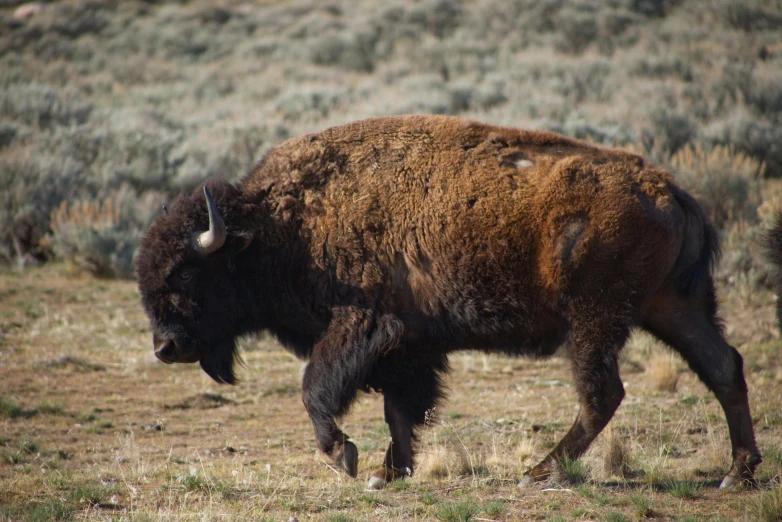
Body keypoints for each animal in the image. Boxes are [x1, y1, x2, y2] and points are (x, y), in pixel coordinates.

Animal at [138, 114, 764, 488]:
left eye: (186, 272)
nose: (165, 348)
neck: (277, 224)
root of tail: (673, 192)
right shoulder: (409, 347)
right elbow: (400, 410)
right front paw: (390, 472)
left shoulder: (361, 327)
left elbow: (317, 388)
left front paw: (345, 456)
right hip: (672, 306)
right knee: (723, 366)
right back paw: (738, 472)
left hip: (595, 318)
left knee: (603, 391)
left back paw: (540, 471)